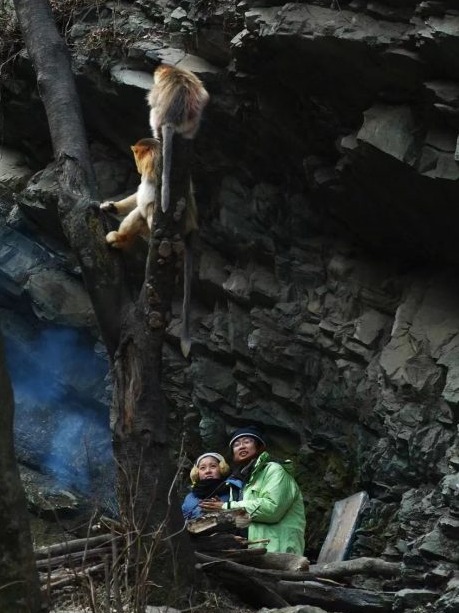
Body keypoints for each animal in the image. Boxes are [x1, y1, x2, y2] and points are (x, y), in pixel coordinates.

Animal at [100, 136, 198, 356]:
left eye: (137, 156)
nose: (137, 167)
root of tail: (191, 229)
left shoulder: (155, 164)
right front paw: (110, 206)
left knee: (146, 209)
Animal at [147, 63, 210, 214]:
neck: (173, 70)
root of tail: (171, 120)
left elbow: (152, 100)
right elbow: (205, 96)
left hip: (157, 117)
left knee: (153, 110)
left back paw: (157, 135)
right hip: (191, 122)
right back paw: (189, 135)